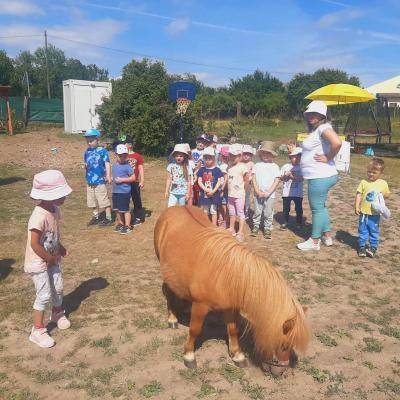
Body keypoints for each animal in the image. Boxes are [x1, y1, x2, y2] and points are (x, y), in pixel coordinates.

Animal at [153, 206, 310, 376]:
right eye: (283, 345)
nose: (280, 372)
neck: (227, 273)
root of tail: (175, 208)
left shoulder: (232, 307)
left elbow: (233, 330)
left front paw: (237, 355)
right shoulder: (201, 306)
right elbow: (195, 330)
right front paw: (189, 356)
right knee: (168, 293)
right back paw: (172, 319)